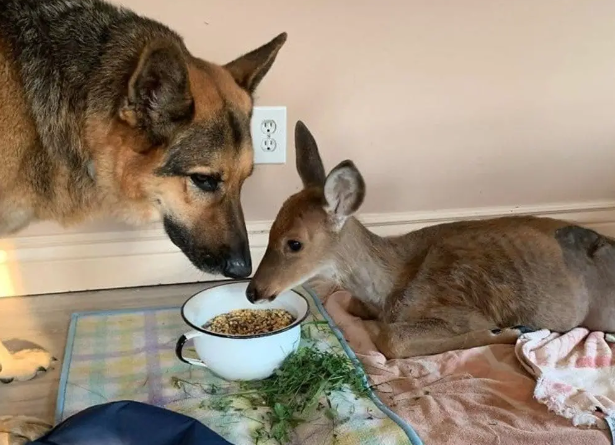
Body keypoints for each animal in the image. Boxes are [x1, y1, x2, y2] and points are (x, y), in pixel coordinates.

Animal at [248, 120, 615, 358]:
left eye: (295, 243)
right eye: (271, 228)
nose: (253, 291)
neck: (391, 284)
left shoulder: (458, 310)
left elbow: (392, 339)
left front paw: (509, 332)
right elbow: (351, 304)